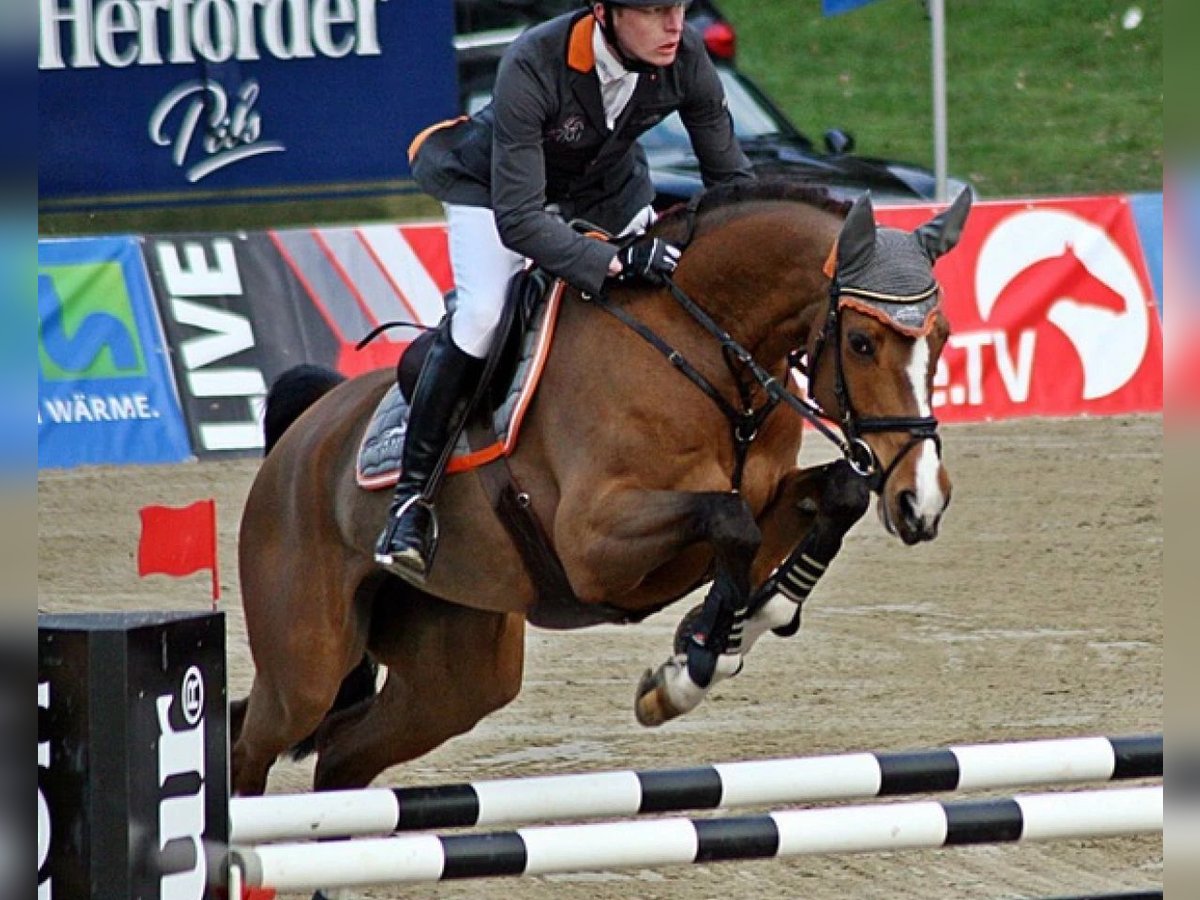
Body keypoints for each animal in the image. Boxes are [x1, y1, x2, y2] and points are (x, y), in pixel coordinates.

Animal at [229, 181, 969, 796]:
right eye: (864, 343)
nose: (923, 500)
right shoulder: (594, 546)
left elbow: (831, 497)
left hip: (456, 676)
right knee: (253, 748)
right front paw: (691, 668)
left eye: (941, 336)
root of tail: (302, 434)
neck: (702, 352)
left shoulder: (765, 497)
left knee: (343, 757)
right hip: (306, 665)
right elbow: (731, 521)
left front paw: (742, 625)